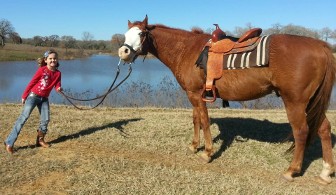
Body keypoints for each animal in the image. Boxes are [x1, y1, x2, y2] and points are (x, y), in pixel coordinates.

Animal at [119, 15, 336, 184]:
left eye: (141, 34)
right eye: (125, 35)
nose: (123, 52)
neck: (187, 50)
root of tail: (320, 46)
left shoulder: (196, 94)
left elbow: (204, 120)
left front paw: (207, 153)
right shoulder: (193, 93)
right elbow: (196, 119)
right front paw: (194, 146)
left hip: (295, 102)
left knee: (301, 132)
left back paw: (291, 171)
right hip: (311, 102)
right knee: (324, 128)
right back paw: (325, 172)